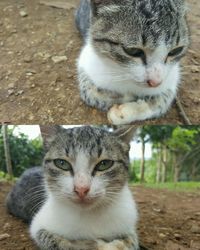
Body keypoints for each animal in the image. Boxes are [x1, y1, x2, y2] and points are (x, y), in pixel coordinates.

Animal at [7, 126, 140, 250]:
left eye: (104, 164)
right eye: (62, 163)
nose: (81, 189)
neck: (89, 215)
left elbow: (131, 241)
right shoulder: (38, 225)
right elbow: (61, 242)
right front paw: (95, 244)